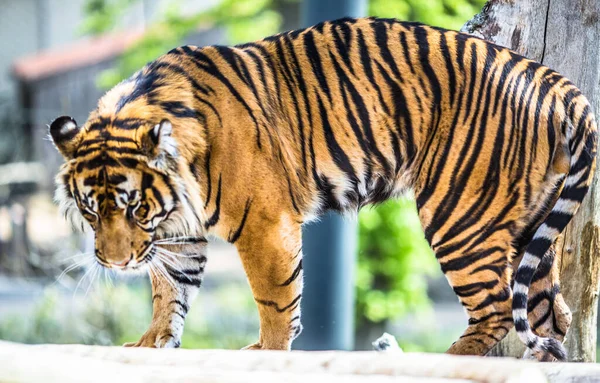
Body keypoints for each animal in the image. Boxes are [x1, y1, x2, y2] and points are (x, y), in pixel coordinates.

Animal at [49, 17, 596, 360]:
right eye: (91, 211)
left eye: (134, 208)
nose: (115, 264)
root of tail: (554, 81)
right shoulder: (179, 231)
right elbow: (170, 290)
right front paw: (152, 343)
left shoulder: (264, 223)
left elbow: (274, 298)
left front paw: (269, 352)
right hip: (530, 225)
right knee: (551, 315)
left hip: (460, 216)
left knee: (500, 307)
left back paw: (454, 358)